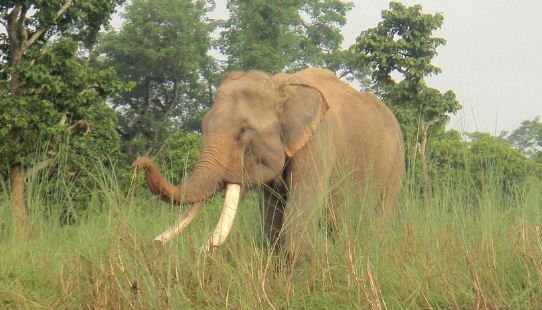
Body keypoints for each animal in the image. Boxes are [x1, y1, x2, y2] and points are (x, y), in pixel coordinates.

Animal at [131, 68, 404, 262]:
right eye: (203, 126)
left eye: (243, 131)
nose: (139, 163)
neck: (279, 85)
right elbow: (272, 224)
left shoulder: (318, 142)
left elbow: (297, 221)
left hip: (395, 166)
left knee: (378, 219)